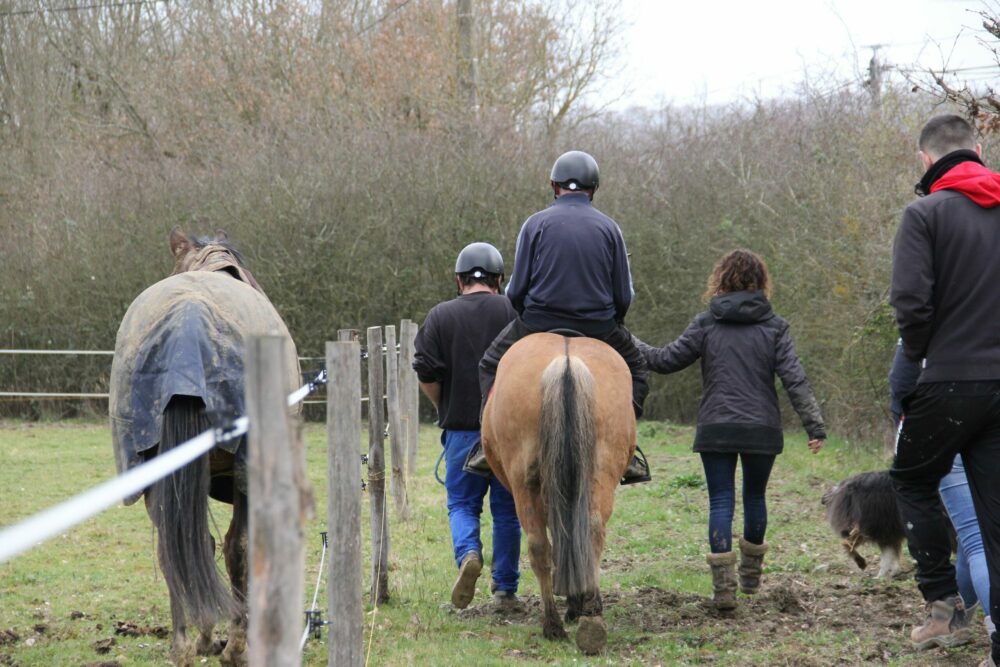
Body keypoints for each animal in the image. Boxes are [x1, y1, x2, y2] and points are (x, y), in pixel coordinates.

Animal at [110, 227, 298, 664]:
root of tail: (188, 323)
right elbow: (238, 548)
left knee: (176, 549)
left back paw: (184, 647)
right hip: (247, 467)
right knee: (237, 546)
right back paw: (234, 647)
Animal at [482, 332, 636, 656]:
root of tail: (566, 361)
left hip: (527, 485)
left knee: (543, 546)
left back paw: (556, 621)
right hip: (597, 472)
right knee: (587, 533)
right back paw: (586, 614)